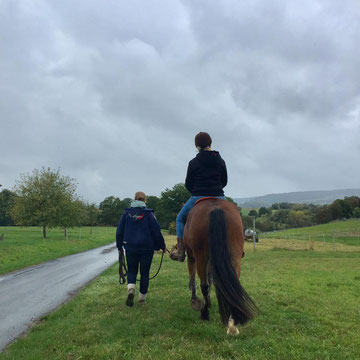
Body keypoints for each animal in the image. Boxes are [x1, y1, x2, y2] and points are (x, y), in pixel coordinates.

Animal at [184, 198, 258, 334]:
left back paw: (205, 314)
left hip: (201, 257)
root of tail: (216, 209)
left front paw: (195, 301)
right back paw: (233, 322)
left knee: (204, 285)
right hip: (234, 255)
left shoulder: (192, 257)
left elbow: (194, 280)